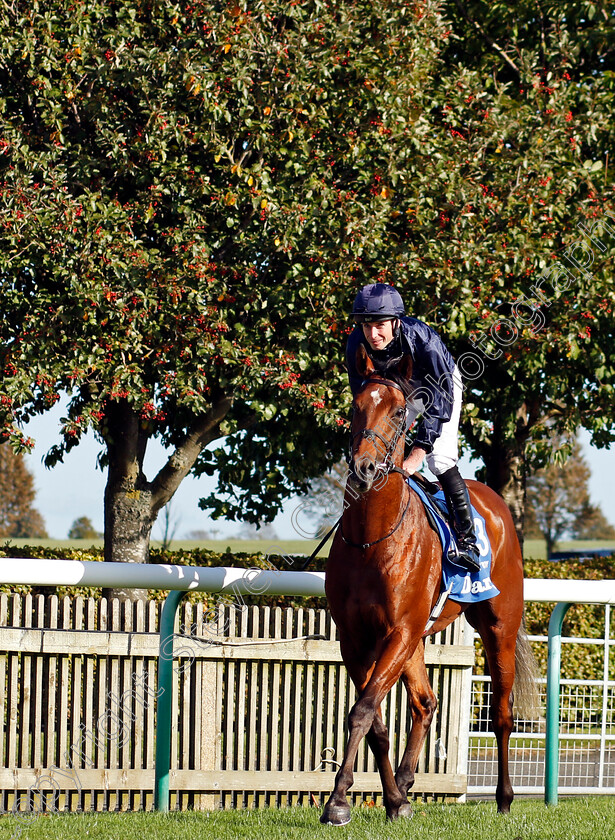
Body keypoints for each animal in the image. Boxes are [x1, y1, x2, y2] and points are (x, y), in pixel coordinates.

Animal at [322, 344, 540, 824]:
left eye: (400, 412)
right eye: (355, 406)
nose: (365, 468)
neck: (371, 537)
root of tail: (496, 502)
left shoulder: (399, 630)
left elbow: (362, 711)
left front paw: (337, 801)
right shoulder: (357, 638)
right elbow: (375, 721)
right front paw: (390, 800)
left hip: (498, 627)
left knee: (501, 715)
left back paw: (504, 798)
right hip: (417, 640)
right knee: (425, 703)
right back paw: (403, 785)